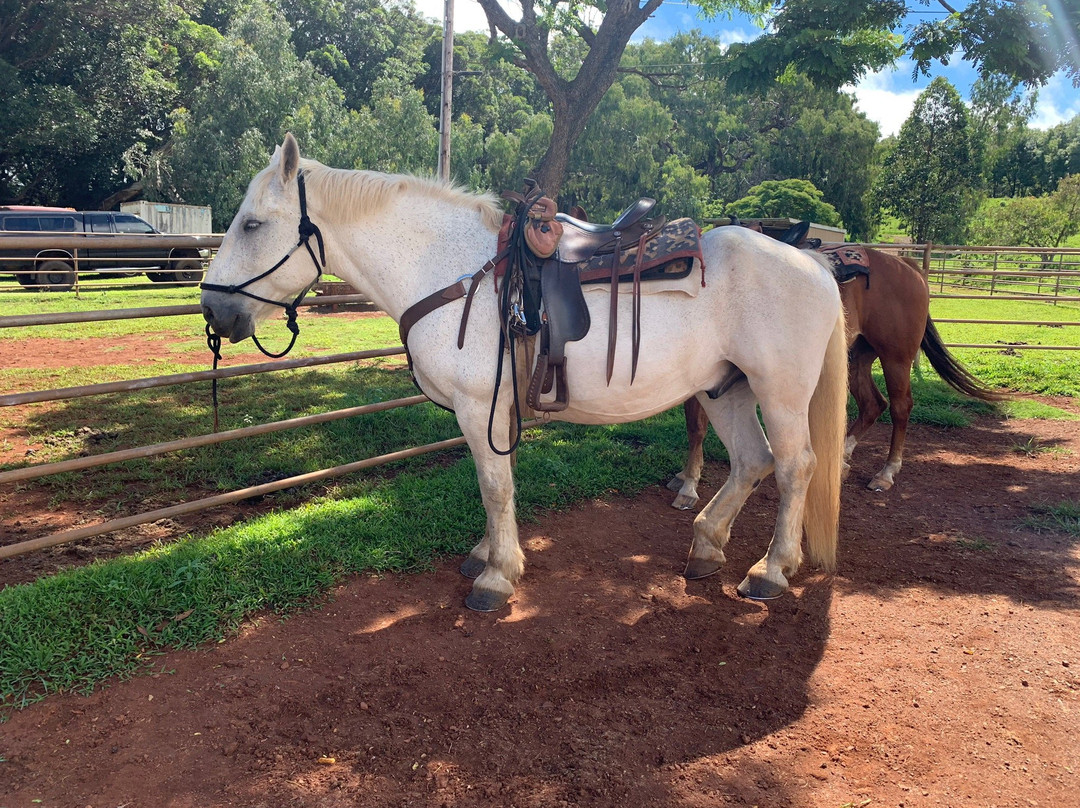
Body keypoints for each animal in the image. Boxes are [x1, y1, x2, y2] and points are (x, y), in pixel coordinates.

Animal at [200, 133, 842, 613]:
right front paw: (488, 554)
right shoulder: (497, 409)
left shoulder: (476, 404)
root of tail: (811, 262)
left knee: (795, 467)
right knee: (753, 461)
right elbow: (499, 484)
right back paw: (707, 546)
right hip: (721, 388)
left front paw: (498, 575)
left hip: (779, 393)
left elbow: (493, 486)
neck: (452, 271)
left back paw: (771, 570)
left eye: (253, 225)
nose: (211, 309)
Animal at [669, 243, 1006, 505]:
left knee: (900, 407)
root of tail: (907, 267)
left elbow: (696, 428)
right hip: (856, 357)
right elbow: (693, 426)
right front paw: (684, 476)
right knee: (873, 404)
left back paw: (886, 473)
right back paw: (842, 459)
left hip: (896, 357)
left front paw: (689, 487)